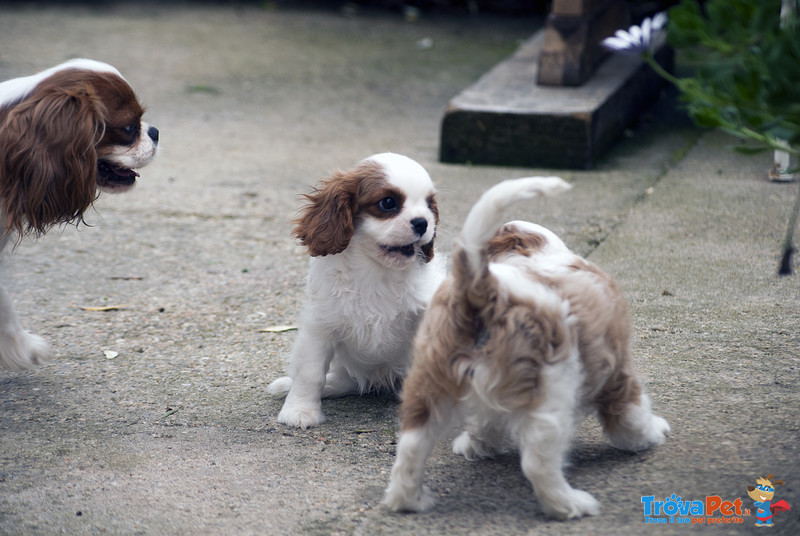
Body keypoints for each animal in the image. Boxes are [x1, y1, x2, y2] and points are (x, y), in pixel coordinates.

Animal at [268, 153, 444, 430]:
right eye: (388, 203)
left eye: (429, 205)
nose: (423, 223)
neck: (375, 270)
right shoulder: (321, 324)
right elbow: (310, 372)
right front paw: (300, 409)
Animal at [384, 179, 672, 520]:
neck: (531, 251)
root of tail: (482, 289)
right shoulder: (616, 372)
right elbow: (633, 414)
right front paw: (651, 434)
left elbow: (486, 420)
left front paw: (477, 446)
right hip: (552, 391)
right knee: (537, 462)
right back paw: (569, 504)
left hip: (431, 378)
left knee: (411, 445)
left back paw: (409, 500)